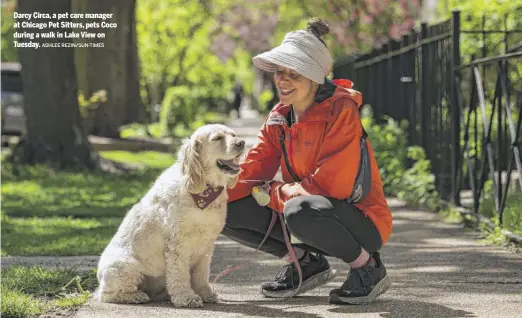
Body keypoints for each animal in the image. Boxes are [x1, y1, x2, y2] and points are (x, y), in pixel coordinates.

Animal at [94, 123, 245, 306]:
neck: (203, 189)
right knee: (107, 295)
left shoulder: (206, 246)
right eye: (217, 138)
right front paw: (186, 297)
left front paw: (205, 293)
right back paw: (135, 296)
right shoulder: (178, 243)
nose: (242, 143)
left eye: (233, 135)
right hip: (126, 268)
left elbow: (201, 273)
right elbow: (180, 273)